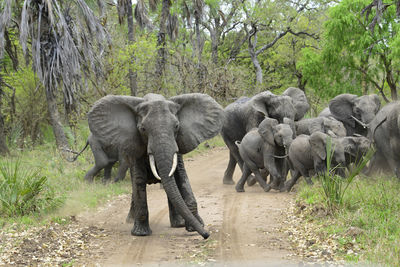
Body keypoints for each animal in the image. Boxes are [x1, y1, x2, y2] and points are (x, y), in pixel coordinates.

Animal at [87, 93, 223, 240]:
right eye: (143, 129)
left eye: (177, 126)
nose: (206, 235)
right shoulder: (135, 148)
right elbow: (139, 180)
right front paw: (140, 233)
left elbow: (181, 176)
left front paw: (195, 226)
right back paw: (130, 220)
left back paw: (178, 224)